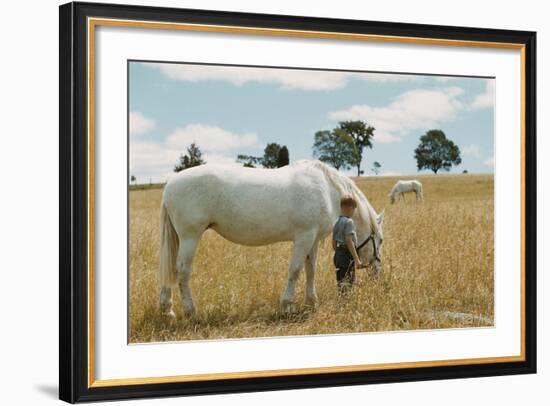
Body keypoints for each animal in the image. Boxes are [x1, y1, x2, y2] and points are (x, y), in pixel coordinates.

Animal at [157, 159, 386, 318]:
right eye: (380, 240)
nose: (377, 272)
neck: (327, 190)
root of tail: (170, 185)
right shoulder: (304, 237)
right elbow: (295, 270)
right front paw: (287, 306)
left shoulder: (312, 240)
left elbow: (310, 270)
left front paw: (311, 302)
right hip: (190, 237)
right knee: (182, 271)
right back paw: (191, 312)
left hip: (179, 238)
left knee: (169, 269)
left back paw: (167, 310)